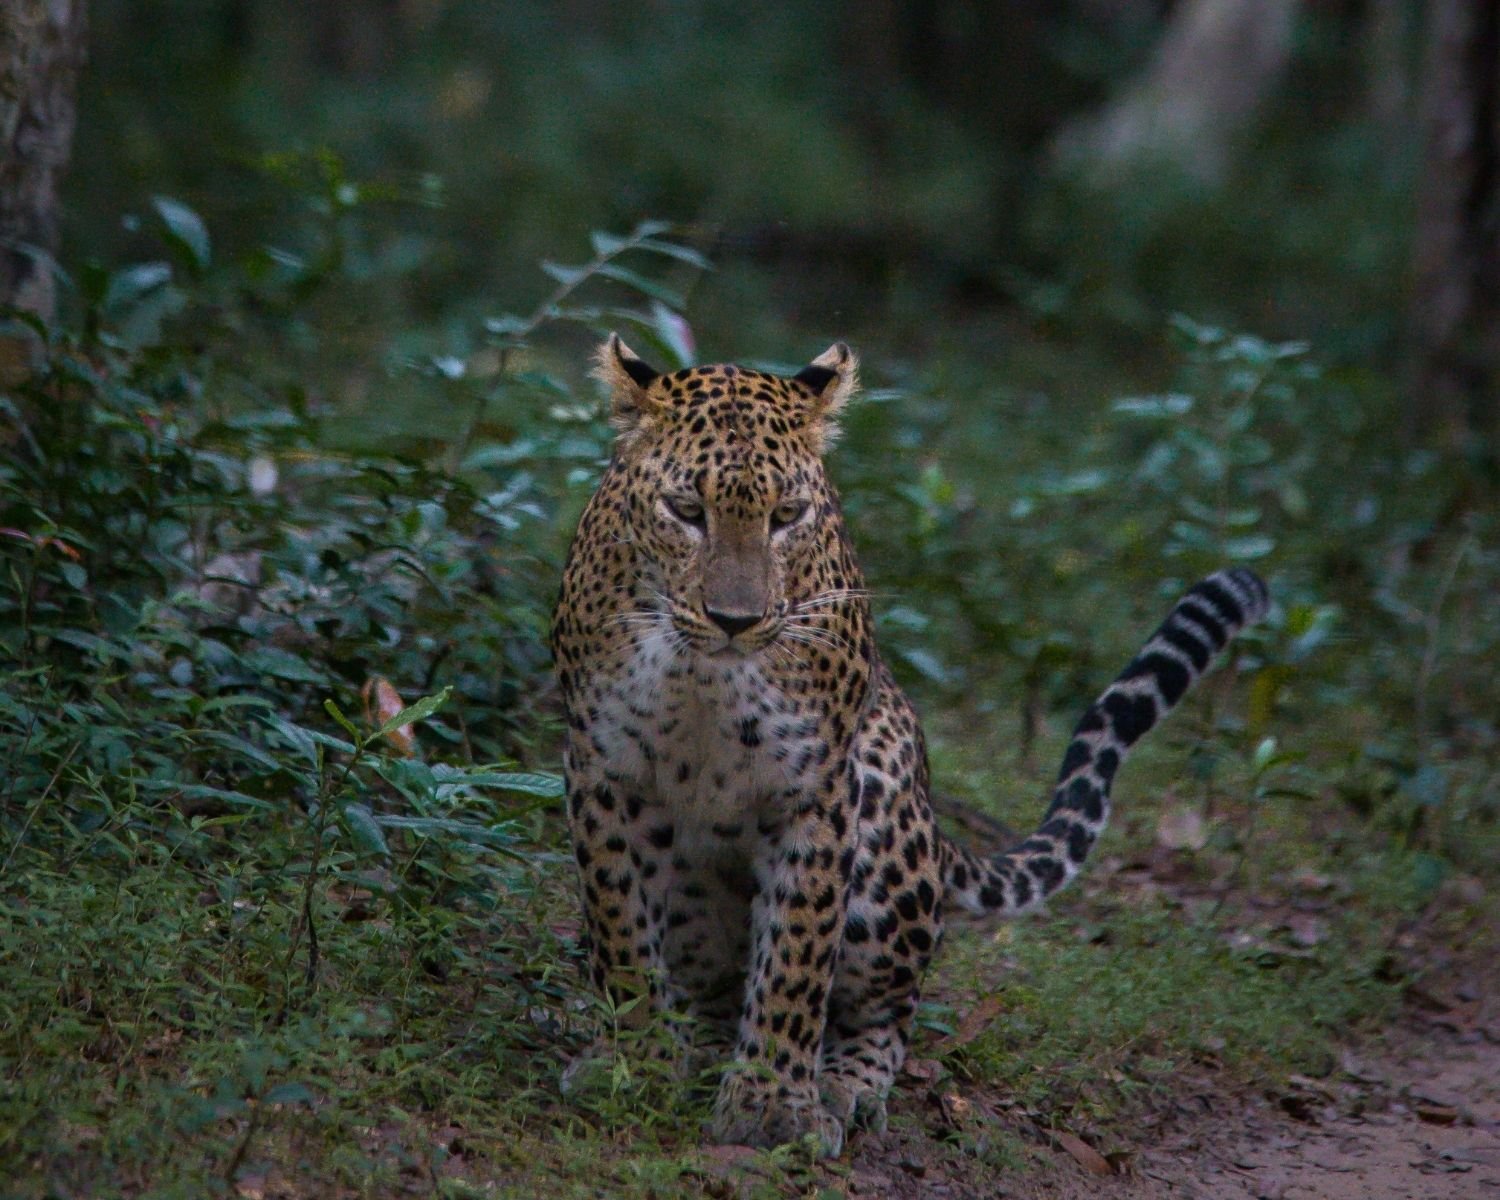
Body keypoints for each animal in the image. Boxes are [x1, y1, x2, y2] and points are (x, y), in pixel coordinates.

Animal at [551, 335, 1270, 1157]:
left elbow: (797, 955)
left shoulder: (819, 788)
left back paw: (841, 1085)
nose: (737, 619)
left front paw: (774, 1104)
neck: (703, 674)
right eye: (686, 511)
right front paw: (632, 1062)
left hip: (885, 827)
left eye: (787, 515)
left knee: (891, 1010)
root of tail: (932, 810)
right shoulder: (603, 771)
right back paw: (696, 1048)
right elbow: (621, 932)